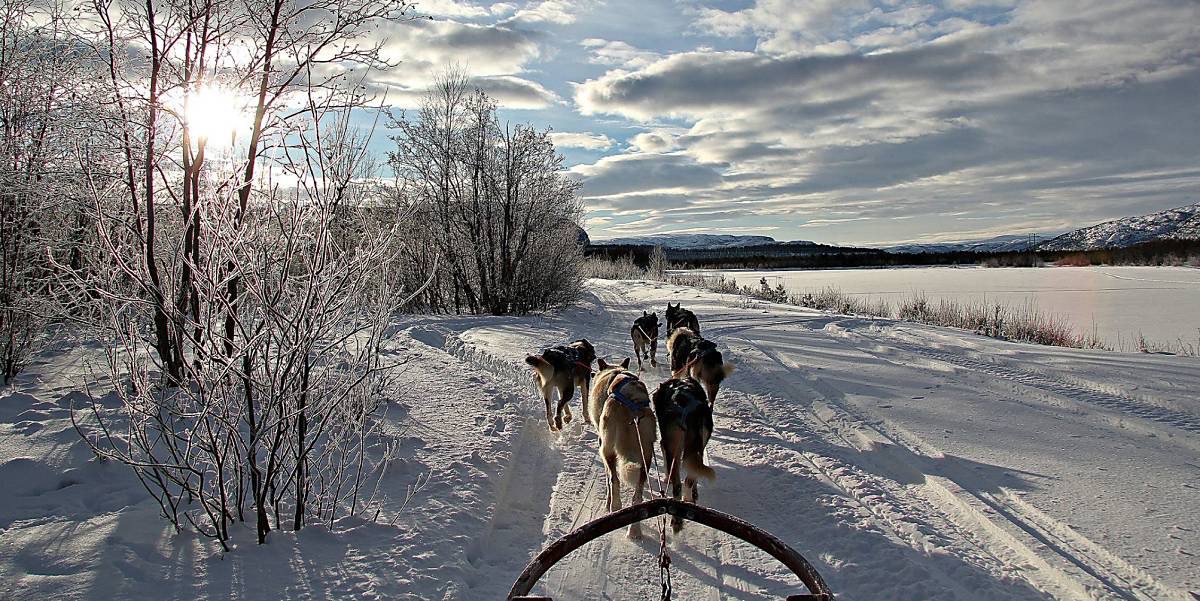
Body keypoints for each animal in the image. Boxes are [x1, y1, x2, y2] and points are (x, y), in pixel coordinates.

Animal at [588, 355, 657, 539]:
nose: (592, 374)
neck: (615, 371)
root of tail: (631, 406)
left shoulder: (602, 442)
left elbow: (608, 478)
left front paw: (607, 502)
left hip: (607, 449)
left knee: (614, 480)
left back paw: (614, 507)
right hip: (646, 456)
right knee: (637, 497)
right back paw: (634, 530)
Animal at [652, 376, 715, 532]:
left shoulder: (665, 445)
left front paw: (665, 478)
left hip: (674, 449)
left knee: (677, 486)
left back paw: (676, 519)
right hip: (695, 448)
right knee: (688, 480)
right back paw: (688, 502)